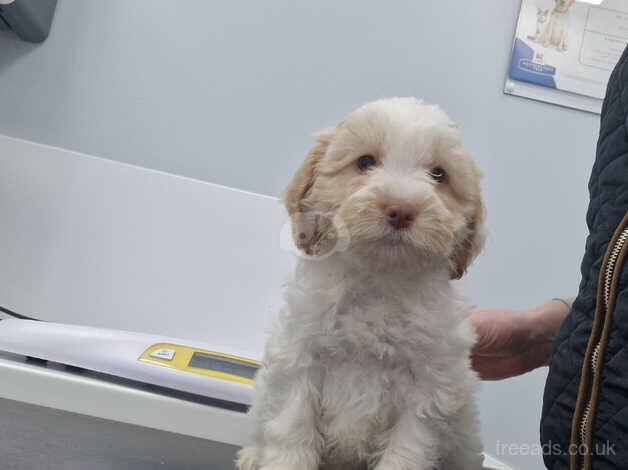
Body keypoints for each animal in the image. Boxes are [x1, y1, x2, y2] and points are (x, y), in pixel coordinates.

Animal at [236, 97, 486, 468]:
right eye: (365, 162)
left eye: (438, 175)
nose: (401, 209)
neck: (379, 278)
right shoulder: (300, 360)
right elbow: (292, 431)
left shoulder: (428, 388)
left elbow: (406, 450)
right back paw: (253, 455)